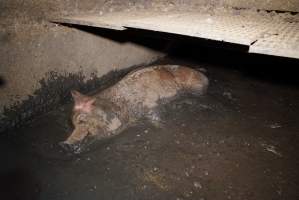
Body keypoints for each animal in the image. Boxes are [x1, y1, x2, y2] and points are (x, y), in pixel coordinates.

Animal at [60, 65, 209, 152]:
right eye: (72, 124)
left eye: (82, 121)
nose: (63, 144)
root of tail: (204, 76)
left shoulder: (150, 105)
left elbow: (156, 118)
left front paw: (162, 127)